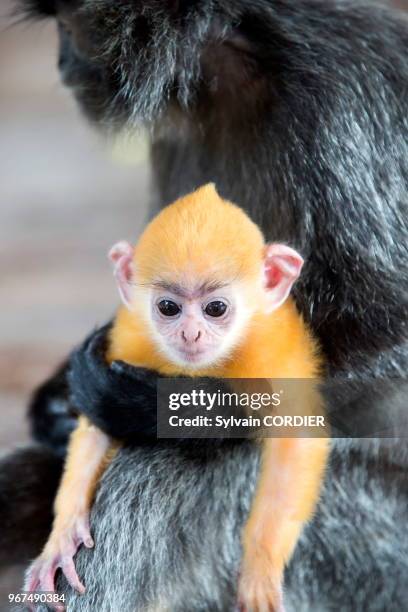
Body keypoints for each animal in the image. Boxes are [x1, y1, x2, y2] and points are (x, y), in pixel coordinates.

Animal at [24, 184, 328, 608]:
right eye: (169, 307)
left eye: (215, 308)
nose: (190, 334)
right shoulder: (130, 337)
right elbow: (98, 423)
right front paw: (63, 536)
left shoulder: (270, 352)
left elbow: (294, 440)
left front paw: (260, 569)